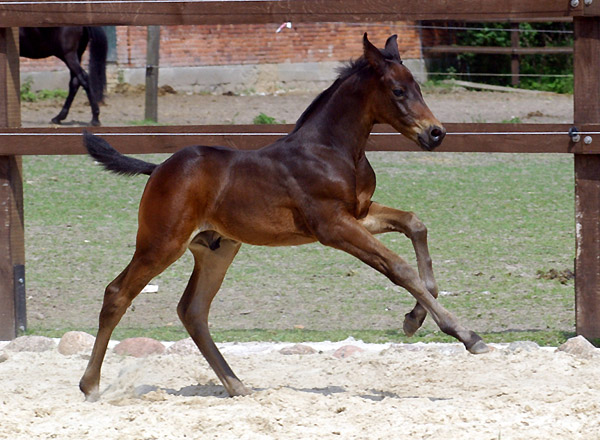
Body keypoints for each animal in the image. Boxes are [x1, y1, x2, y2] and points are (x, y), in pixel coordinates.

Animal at [79, 32, 490, 400]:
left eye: (418, 86)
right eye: (398, 91)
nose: (436, 133)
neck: (332, 149)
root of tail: (158, 169)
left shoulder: (359, 214)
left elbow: (415, 225)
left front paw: (414, 318)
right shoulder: (333, 226)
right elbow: (399, 268)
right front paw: (466, 335)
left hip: (216, 250)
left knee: (192, 310)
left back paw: (237, 385)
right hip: (162, 243)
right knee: (117, 293)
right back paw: (91, 386)